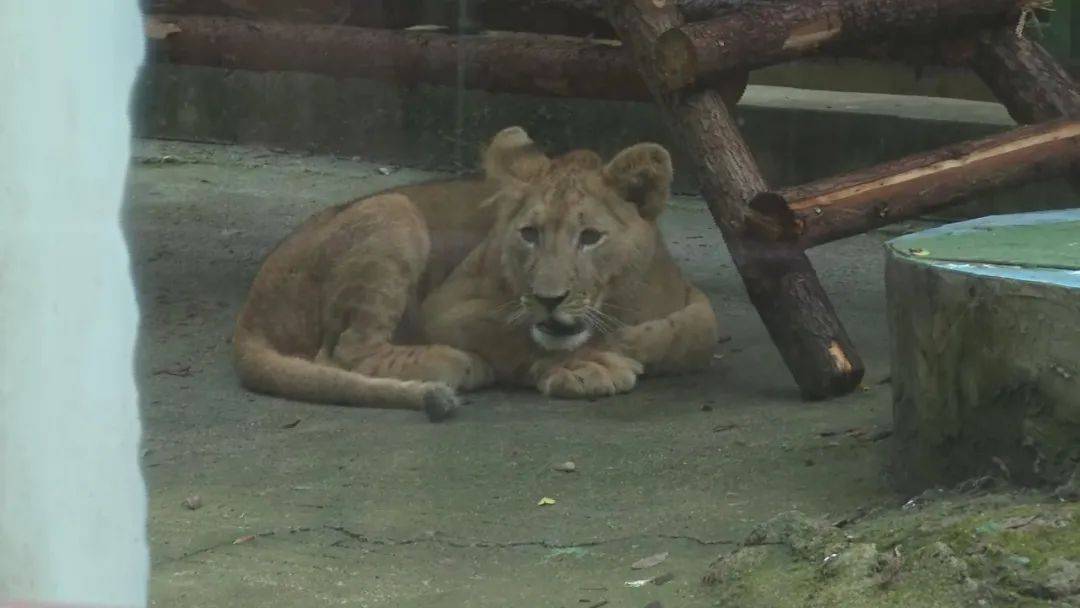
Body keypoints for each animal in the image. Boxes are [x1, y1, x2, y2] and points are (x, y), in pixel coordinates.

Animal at [232, 126, 717, 421]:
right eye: (529, 234)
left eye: (591, 237)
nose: (549, 299)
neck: (618, 300)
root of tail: (251, 309)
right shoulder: (445, 305)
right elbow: (510, 333)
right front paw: (585, 365)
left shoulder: (688, 298)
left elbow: (698, 328)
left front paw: (622, 343)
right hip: (395, 210)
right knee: (346, 353)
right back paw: (454, 364)